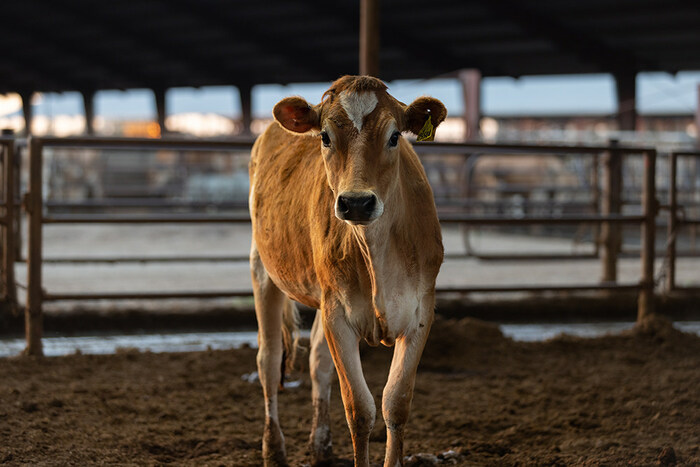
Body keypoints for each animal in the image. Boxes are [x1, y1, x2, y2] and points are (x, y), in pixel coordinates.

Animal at [252, 75, 446, 466]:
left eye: (395, 135)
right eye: (325, 136)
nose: (356, 202)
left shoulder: (421, 311)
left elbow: (395, 403)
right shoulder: (337, 314)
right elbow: (359, 408)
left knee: (317, 363)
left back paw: (321, 446)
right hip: (263, 271)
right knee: (268, 360)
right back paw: (274, 448)